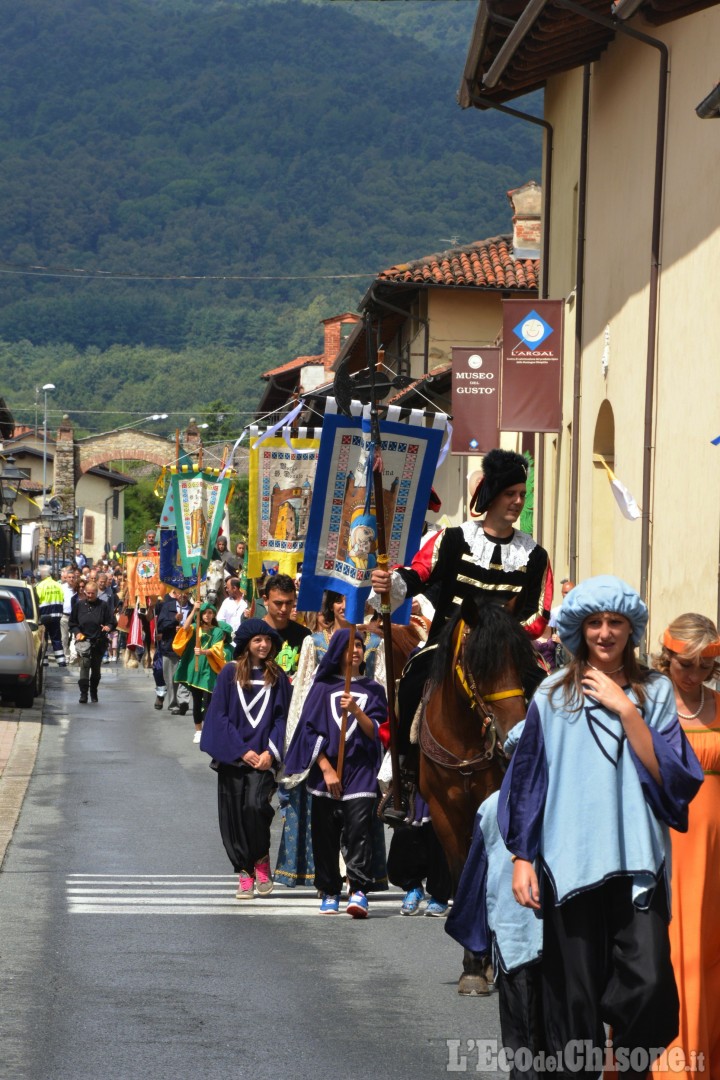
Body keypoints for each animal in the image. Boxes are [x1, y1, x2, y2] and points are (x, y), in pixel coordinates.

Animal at [418, 596, 544, 989]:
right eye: (478, 662)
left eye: (520, 658)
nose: (513, 731)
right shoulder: (443, 813)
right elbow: (462, 872)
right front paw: (473, 964)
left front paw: (485, 960)